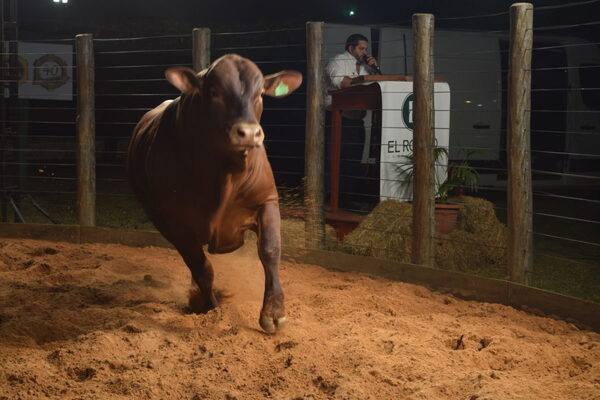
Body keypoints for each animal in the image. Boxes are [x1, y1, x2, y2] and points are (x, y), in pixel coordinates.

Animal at [128, 54, 302, 334]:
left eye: (260, 94)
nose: (249, 133)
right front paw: (210, 307)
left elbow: (270, 250)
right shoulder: (173, 223)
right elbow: (201, 268)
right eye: (214, 91)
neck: (225, 171)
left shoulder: (266, 200)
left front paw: (274, 312)